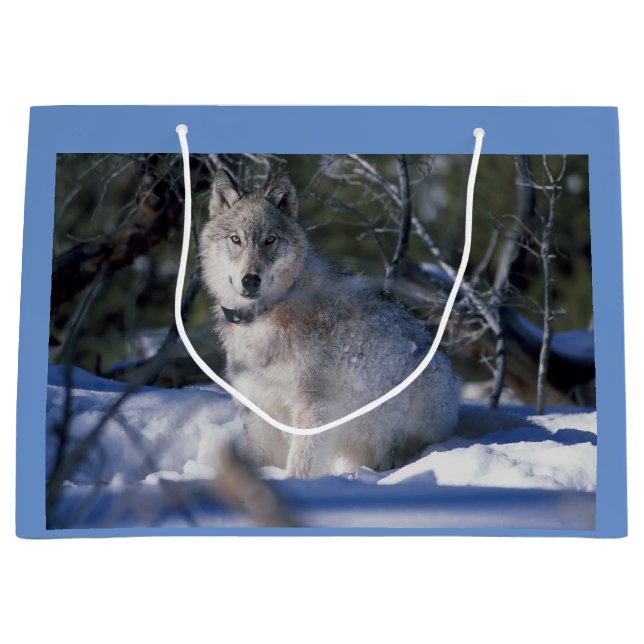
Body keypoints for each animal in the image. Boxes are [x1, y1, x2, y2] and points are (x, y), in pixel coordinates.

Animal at [199, 169, 461, 478]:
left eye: (270, 239)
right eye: (236, 239)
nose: (251, 280)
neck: (265, 316)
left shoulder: (314, 407)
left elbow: (300, 465)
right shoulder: (259, 406)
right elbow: (260, 459)